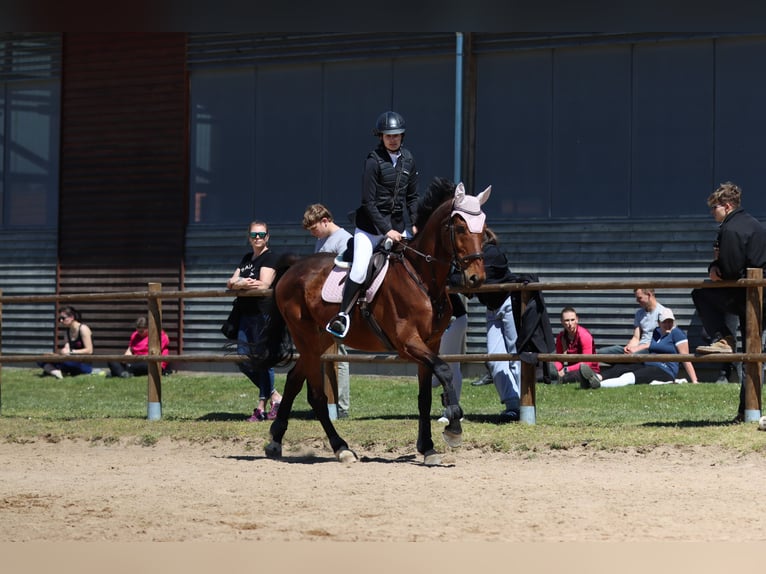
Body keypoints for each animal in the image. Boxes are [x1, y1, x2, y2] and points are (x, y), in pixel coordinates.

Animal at [254, 182, 492, 466]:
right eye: (460, 228)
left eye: (484, 229)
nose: (476, 278)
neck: (422, 277)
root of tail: (293, 268)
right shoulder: (408, 342)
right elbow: (444, 371)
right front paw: (453, 427)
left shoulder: (430, 344)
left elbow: (424, 397)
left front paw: (428, 448)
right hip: (306, 338)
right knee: (316, 395)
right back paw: (341, 447)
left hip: (318, 340)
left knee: (293, 380)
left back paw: (275, 441)